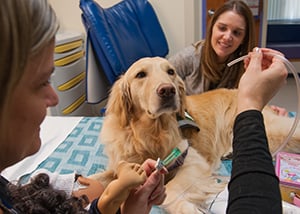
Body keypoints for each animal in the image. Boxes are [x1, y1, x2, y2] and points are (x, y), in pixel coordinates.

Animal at [97, 56, 300, 212]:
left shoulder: (193, 162)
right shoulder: (122, 165)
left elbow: (171, 190)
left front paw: (189, 208)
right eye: (140, 75)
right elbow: (101, 178)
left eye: (170, 71)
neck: (151, 133)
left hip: (274, 131)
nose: (168, 90)